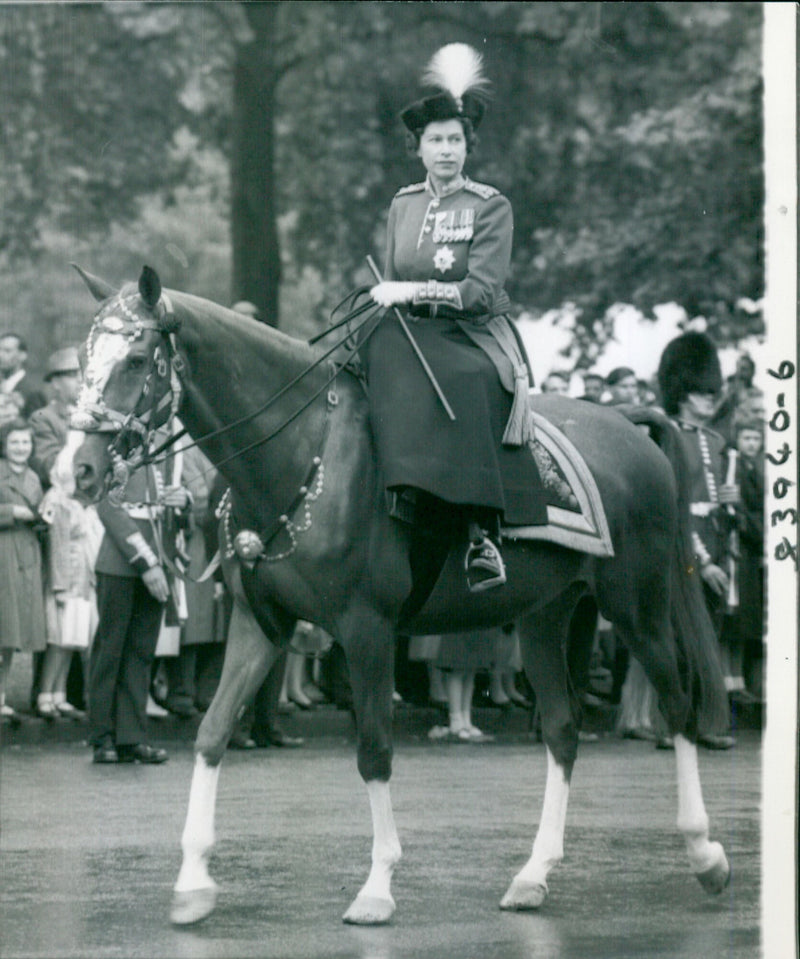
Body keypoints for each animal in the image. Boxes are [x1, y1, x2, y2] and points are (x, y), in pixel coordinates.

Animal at [70, 266, 732, 928]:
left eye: (136, 358)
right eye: (83, 358)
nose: (79, 471)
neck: (301, 452)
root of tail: (628, 424)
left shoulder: (367, 629)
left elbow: (374, 750)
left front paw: (378, 885)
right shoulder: (262, 626)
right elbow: (212, 733)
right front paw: (192, 882)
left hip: (637, 606)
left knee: (678, 708)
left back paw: (705, 852)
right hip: (545, 616)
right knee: (564, 731)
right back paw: (533, 874)